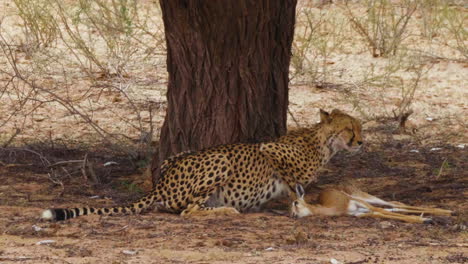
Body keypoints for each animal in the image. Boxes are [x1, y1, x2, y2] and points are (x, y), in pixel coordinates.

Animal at [41, 109, 362, 221]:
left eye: (359, 127)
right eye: (350, 128)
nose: (360, 142)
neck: (323, 142)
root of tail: (161, 183)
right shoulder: (267, 148)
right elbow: (291, 179)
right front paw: (298, 201)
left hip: (177, 155)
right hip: (220, 158)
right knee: (187, 211)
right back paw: (227, 210)